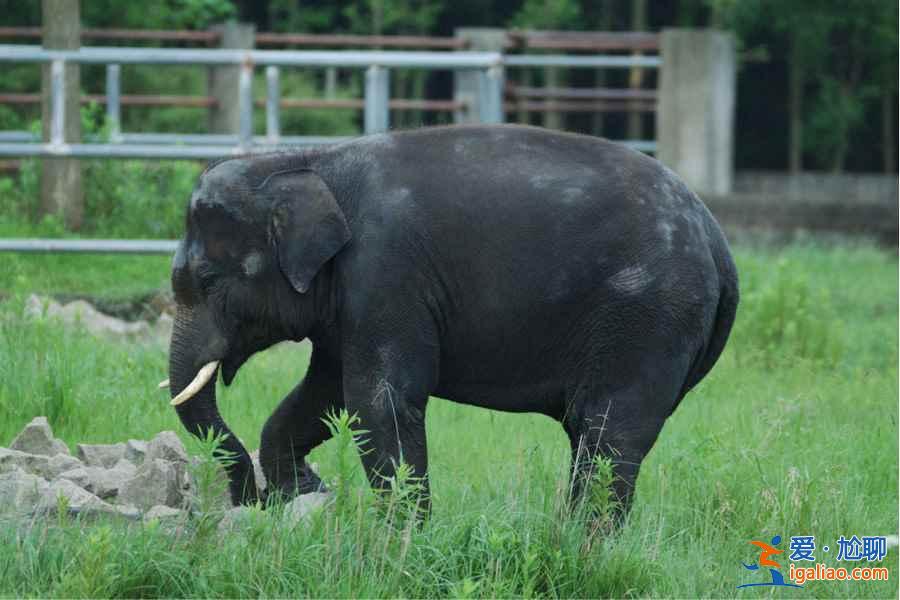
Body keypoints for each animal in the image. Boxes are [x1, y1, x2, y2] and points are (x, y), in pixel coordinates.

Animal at [167, 123, 740, 516]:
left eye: (208, 281)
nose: (248, 500)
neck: (309, 160)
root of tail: (717, 239)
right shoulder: (349, 301)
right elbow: (324, 392)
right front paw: (305, 497)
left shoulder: (386, 272)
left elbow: (378, 399)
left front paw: (402, 536)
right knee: (593, 435)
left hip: (647, 315)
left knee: (608, 433)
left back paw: (583, 540)